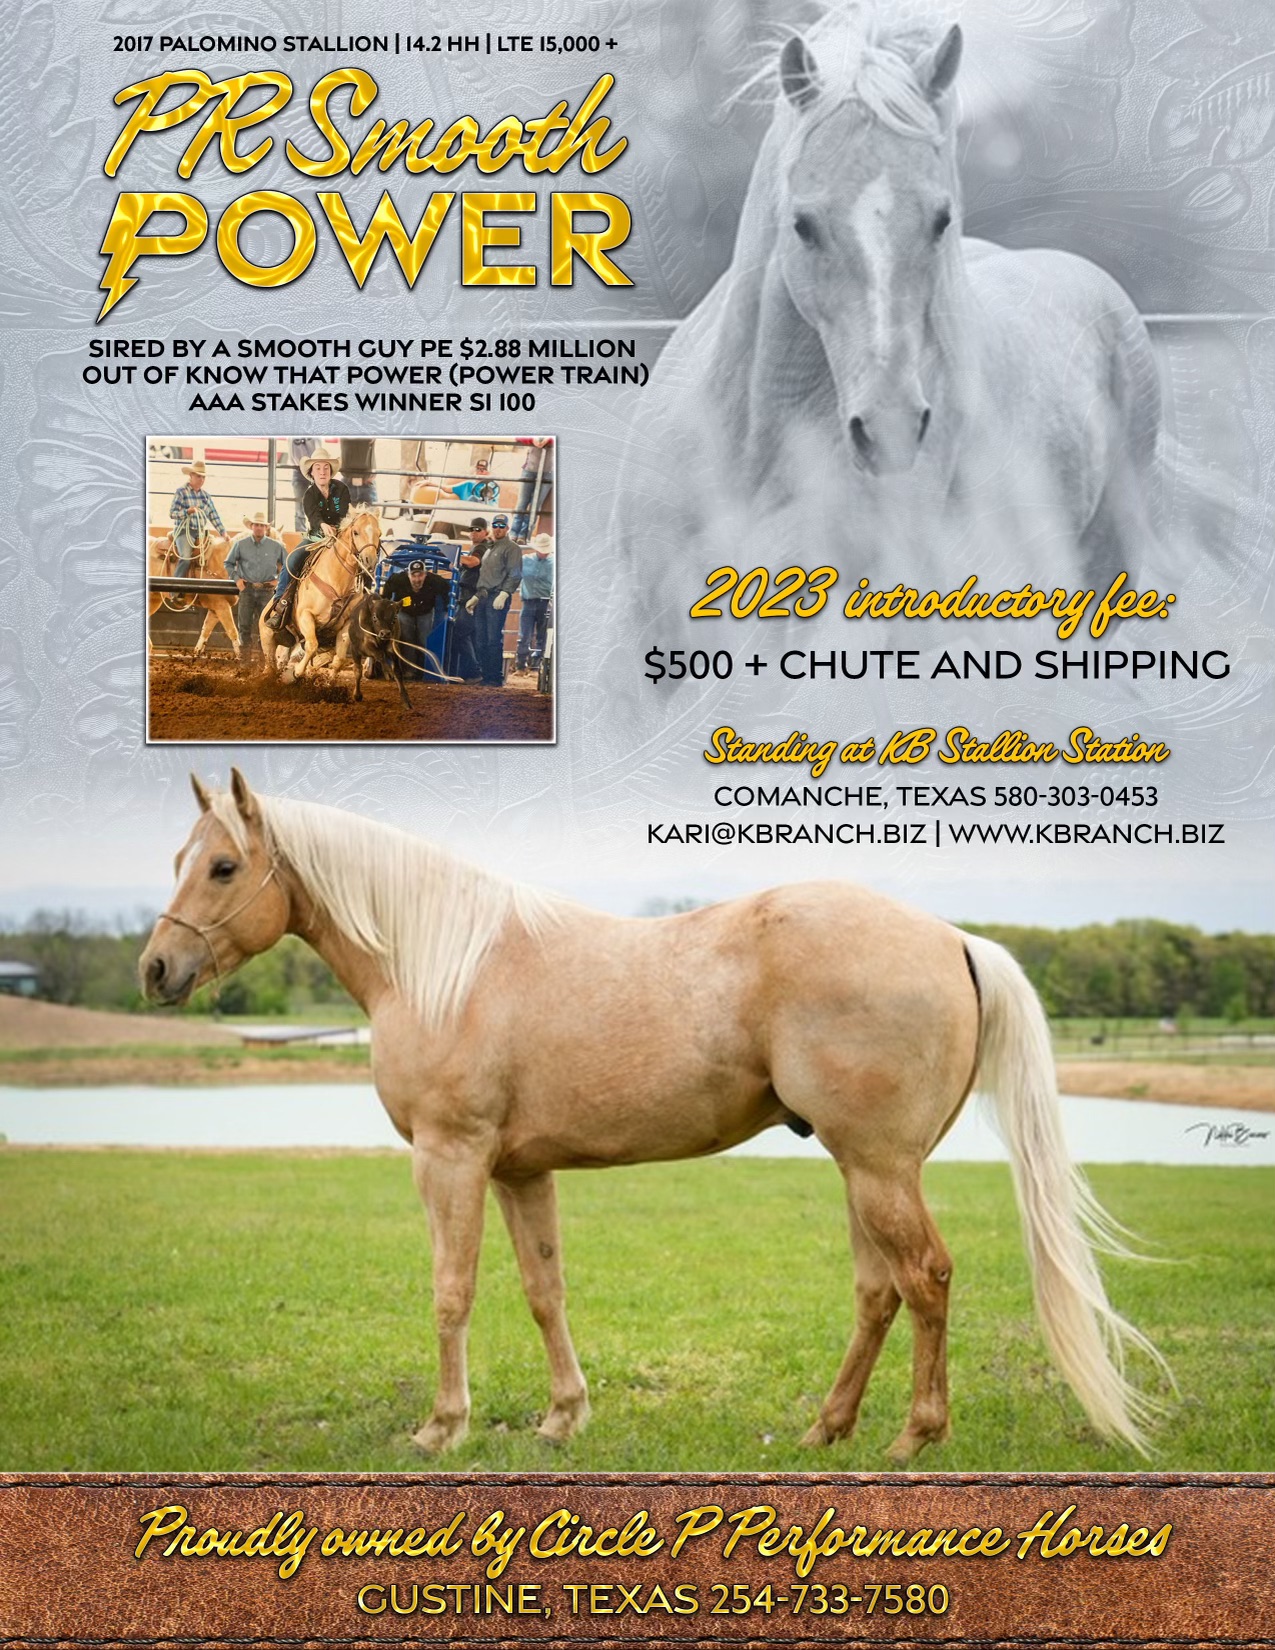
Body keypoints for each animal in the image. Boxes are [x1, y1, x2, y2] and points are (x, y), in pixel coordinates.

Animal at [139, 772, 1166, 1462]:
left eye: (224, 866)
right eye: (179, 860)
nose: (155, 970)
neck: (445, 966)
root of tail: (950, 937)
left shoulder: (451, 1158)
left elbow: (451, 1291)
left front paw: (441, 1427)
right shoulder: (520, 1169)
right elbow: (543, 1289)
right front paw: (562, 1417)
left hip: (879, 1169)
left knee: (926, 1280)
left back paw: (912, 1439)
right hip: (865, 1170)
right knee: (878, 1292)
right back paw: (824, 1429)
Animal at [260, 512, 382, 681]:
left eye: (379, 534)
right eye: (356, 532)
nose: (369, 561)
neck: (337, 581)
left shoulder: (346, 626)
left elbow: (340, 658)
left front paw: (329, 682)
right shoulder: (305, 615)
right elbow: (312, 645)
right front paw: (297, 672)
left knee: (283, 658)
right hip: (267, 637)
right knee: (270, 664)